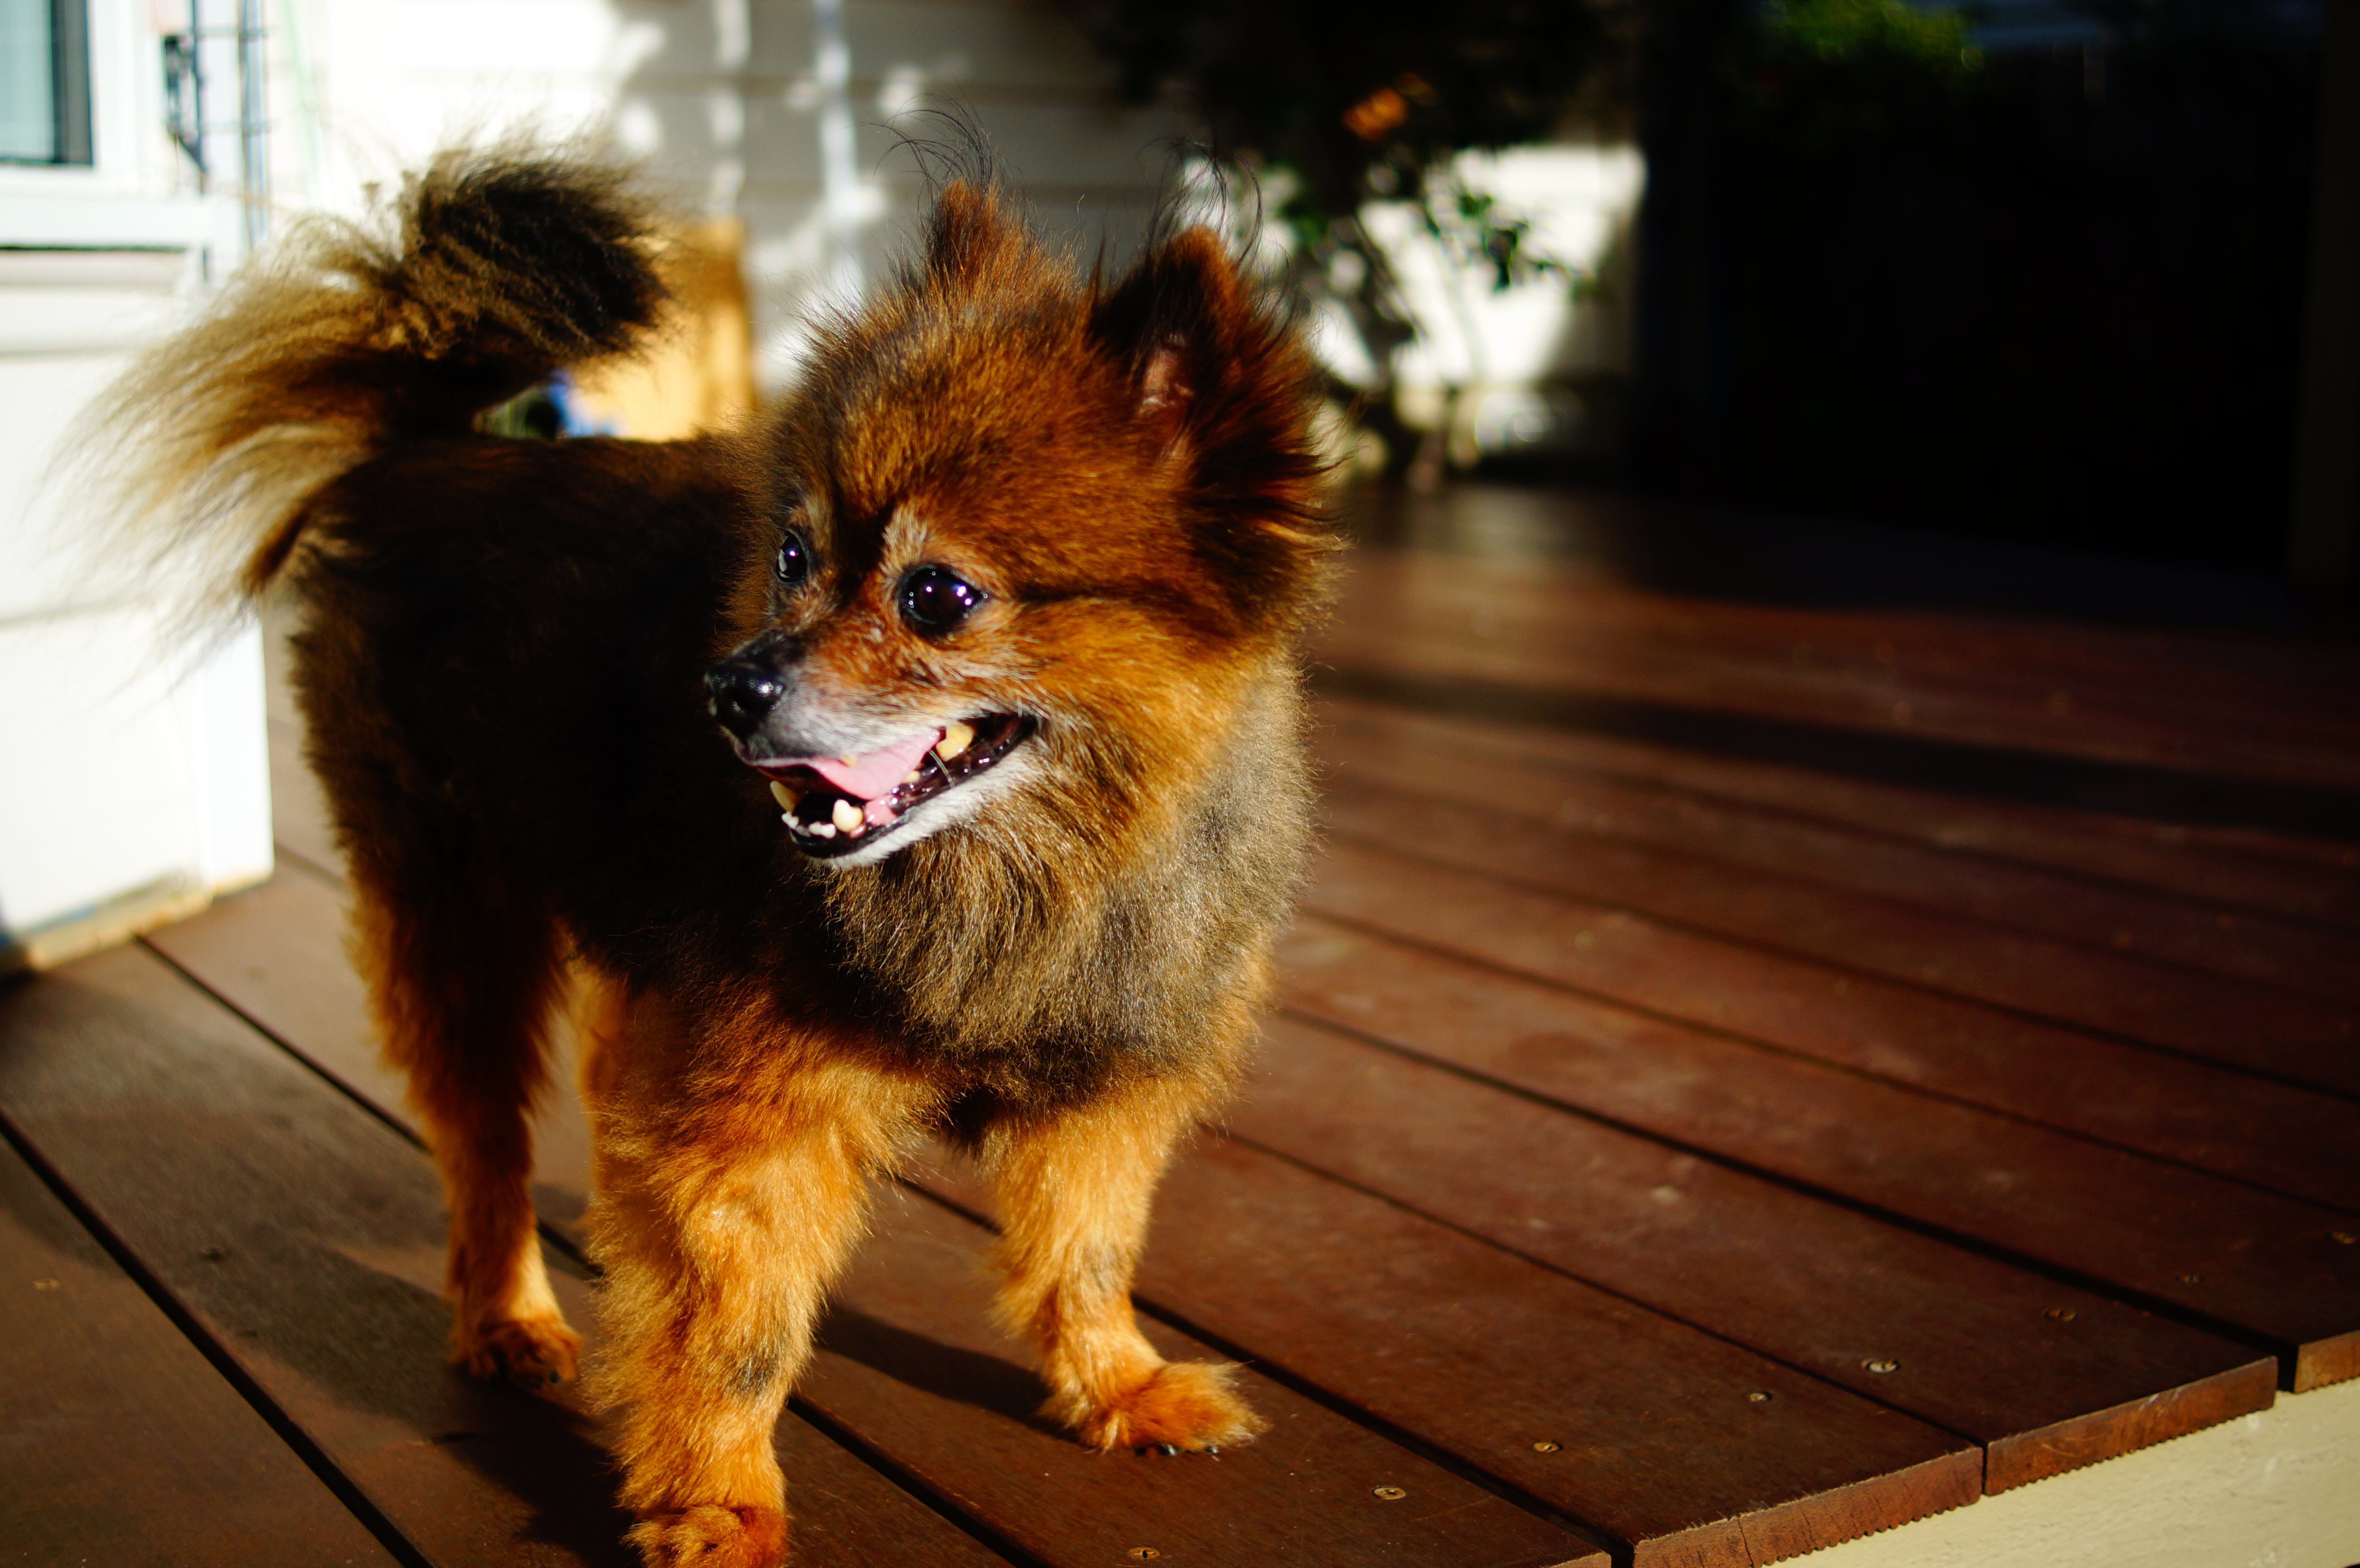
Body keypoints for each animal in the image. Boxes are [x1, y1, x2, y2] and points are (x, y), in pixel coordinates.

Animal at [97, 146, 1330, 1566]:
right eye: (792, 557)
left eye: (939, 596)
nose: (729, 689)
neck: (1015, 877)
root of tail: (439, 450)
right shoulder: (761, 1120)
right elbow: (735, 1328)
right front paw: (719, 1501)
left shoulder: (1103, 1086)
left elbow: (1088, 1249)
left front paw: (1117, 1382)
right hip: (458, 916)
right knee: (484, 1147)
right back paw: (506, 1315)